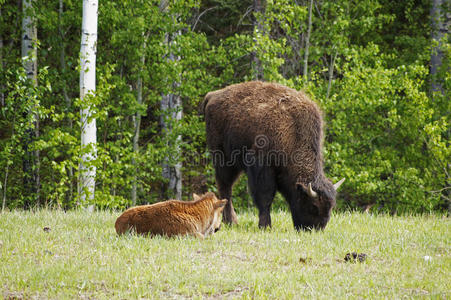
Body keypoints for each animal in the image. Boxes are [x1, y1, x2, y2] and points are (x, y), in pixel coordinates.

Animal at [202, 81, 346, 231]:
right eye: (313, 206)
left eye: (331, 207)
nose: (315, 229)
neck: (293, 132)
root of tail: (212, 96)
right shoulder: (262, 167)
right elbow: (265, 197)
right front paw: (265, 226)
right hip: (224, 160)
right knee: (225, 187)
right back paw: (231, 222)